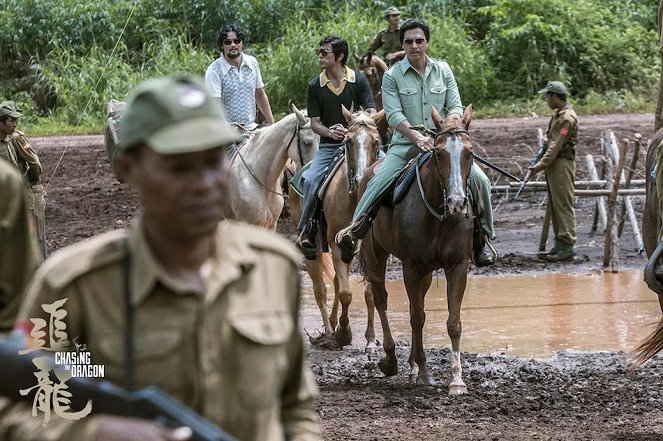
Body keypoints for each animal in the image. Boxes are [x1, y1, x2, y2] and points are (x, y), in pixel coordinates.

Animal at [290, 106, 384, 344]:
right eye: (348, 142)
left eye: (376, 142)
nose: (362, 180)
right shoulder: (336, 245)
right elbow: (345, 293)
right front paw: (343, 333)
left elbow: (370, 293)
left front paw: (370, 340)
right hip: (311, 247)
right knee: (320, 289)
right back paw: (329, 331)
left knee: (333, 281)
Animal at [360, 104, 474, 392]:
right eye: (438, 152)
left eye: (469, 152)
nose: (457, 202)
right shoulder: (411, 266)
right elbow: (416, 317)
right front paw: (422, 370)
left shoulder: (458, 266)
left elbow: (453, 322)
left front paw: (457, 380)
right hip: (375, 252)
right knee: (380, 298)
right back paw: (391, 360)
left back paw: (410, 365)